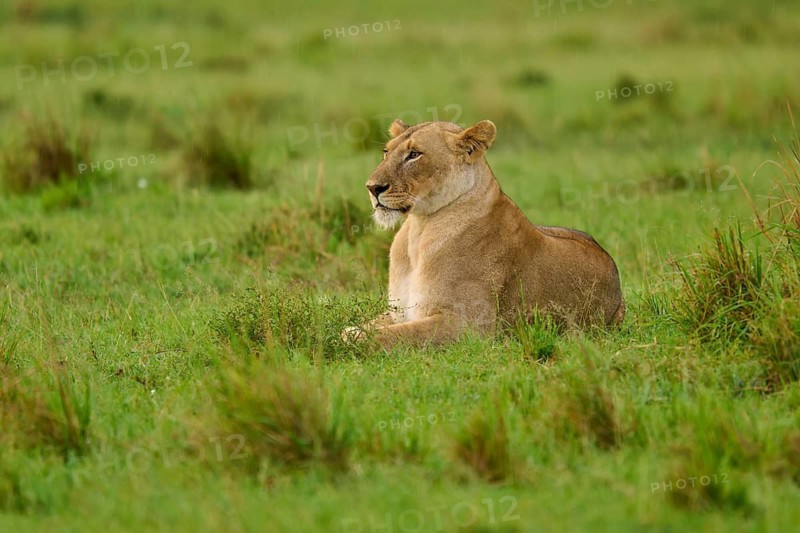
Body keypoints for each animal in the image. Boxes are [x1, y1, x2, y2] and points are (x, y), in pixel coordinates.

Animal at [345, 118, 624, 349]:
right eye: (386, 152)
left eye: (414, 154)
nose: (372, 187)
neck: (419, 230)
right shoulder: (398, 311)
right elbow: (361, 327)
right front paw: (353, 330)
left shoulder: (470, 325)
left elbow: (391, 335)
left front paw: (356, 337)